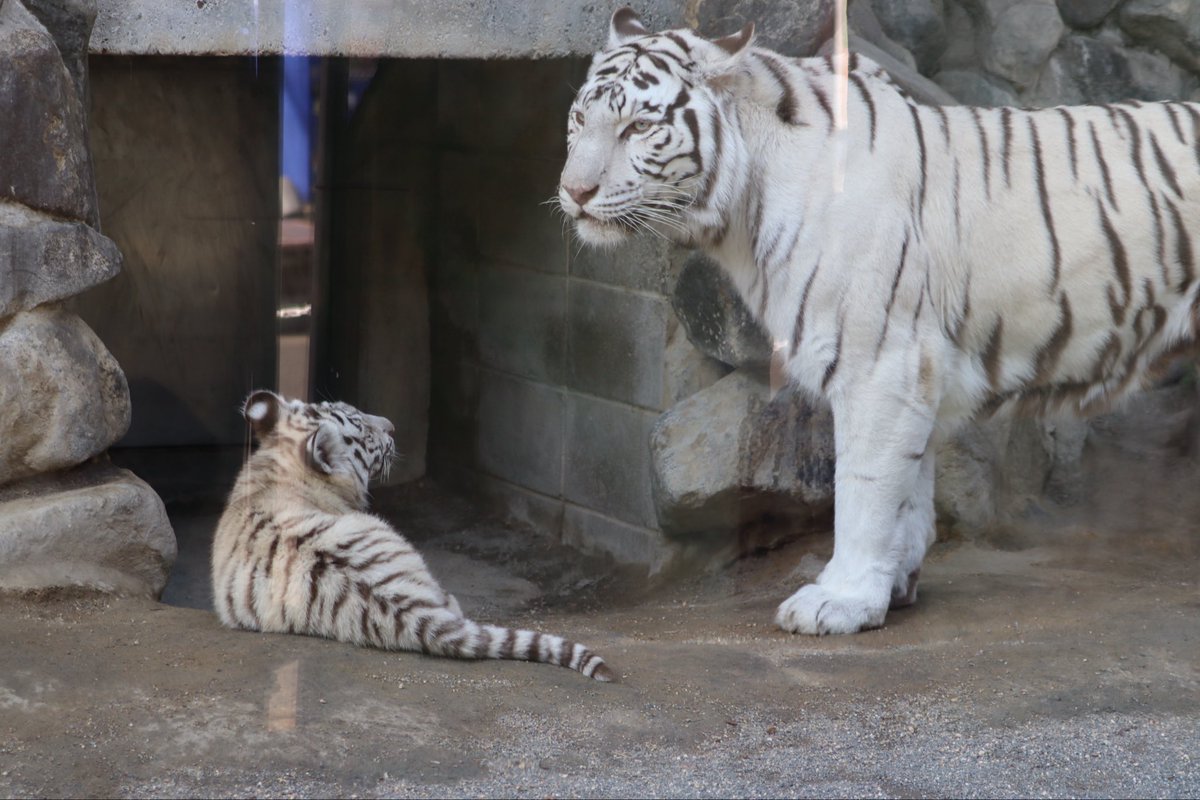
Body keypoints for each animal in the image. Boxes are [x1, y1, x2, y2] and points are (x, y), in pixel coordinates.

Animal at [559, 7, 1200, 634]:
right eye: (579, 119)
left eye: (638, 128)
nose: (574, 191)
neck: (742, 211)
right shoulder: (917, 370)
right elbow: (908, 493)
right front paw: (889, 590)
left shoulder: (881, 364)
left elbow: (863, 490)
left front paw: (838, 601)